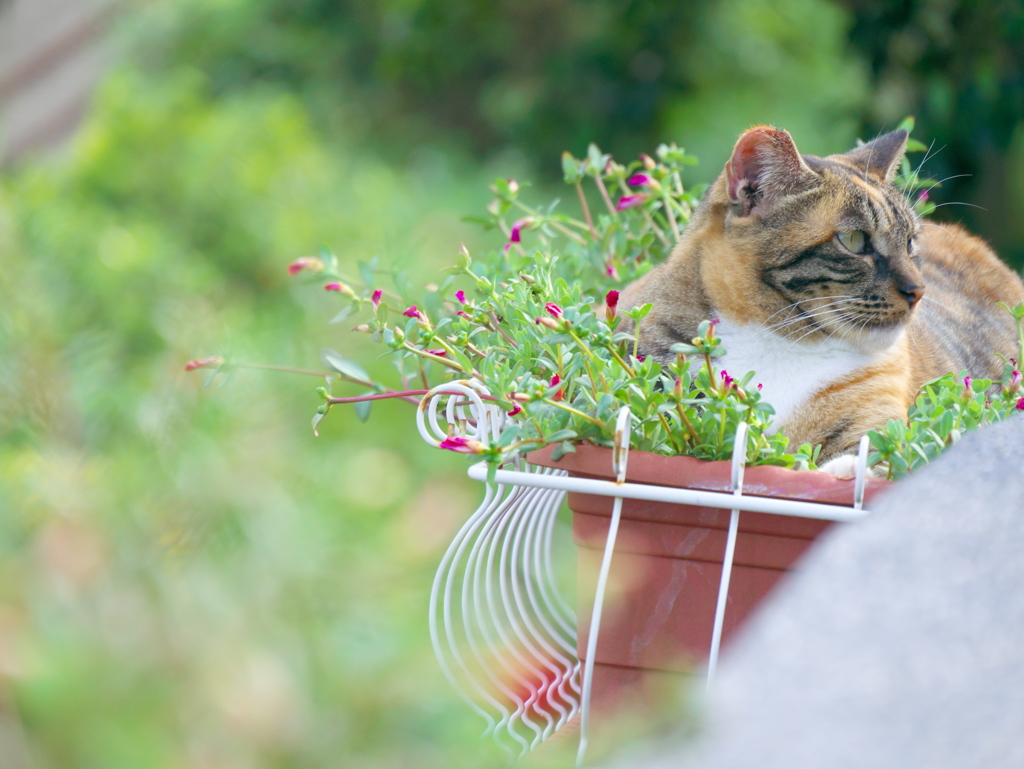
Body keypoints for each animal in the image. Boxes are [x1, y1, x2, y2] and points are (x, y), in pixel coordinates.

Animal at [618, 125, 1024, 473]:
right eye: (854, 240)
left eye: (910, 242)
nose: (919, 290)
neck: (775, 339)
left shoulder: (879, 416)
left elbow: (871, 451)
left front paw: (847, 471)